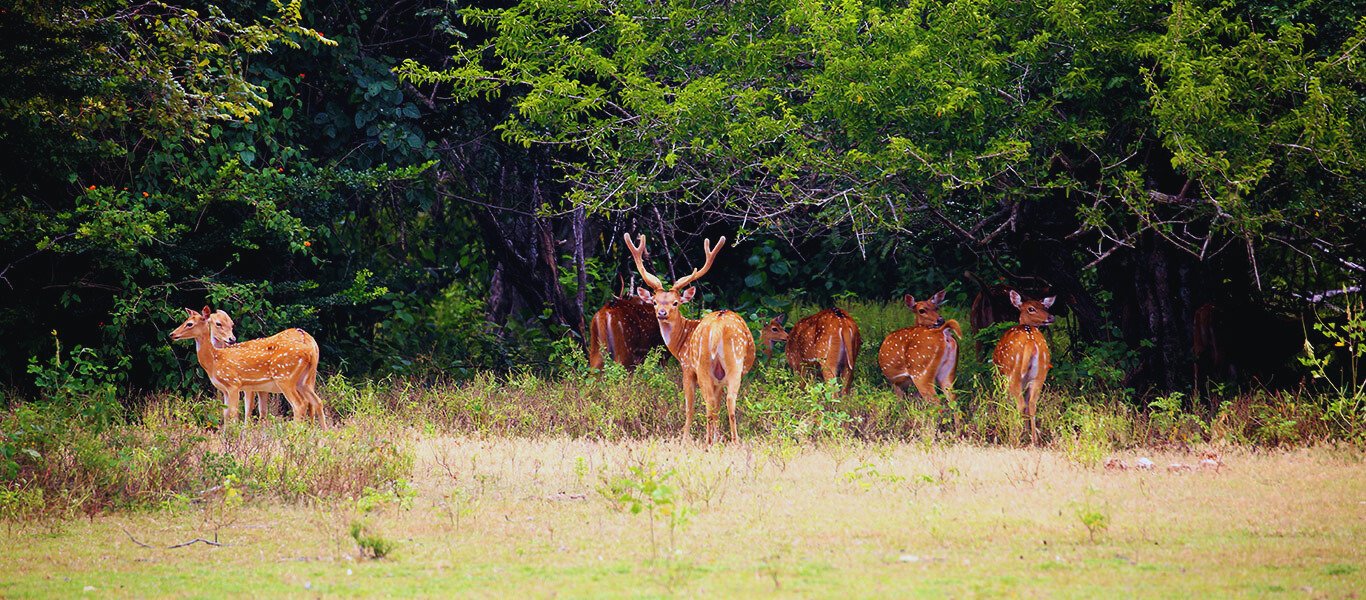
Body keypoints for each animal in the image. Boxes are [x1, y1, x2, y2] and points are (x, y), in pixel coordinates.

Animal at [172, 304, 326, 426]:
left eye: (189, 324)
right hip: (304, 381)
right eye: (218, 323)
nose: (172, 334)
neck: (215, 360)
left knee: (300, 404)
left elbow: (239, 412)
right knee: (317, 402)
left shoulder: (235, 384)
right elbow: (230, 413)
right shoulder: (230, 389)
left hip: (285, 378)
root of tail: (309, 347)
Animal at [622, 232, 754, 442]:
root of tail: (718, 327)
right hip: (733, 365)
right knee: (728, 401)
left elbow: (689, 407)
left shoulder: (686, 366)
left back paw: (709, 442)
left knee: (709, 402)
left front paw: (684, 438)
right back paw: (733, 441)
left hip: (705, 364)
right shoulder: (718, 379)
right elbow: (717, 407)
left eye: (675, 302)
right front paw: (717, 437)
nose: (662, 313)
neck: (681, 342)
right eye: (654, 301)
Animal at [994, 291, 1054, 445]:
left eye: (1044, 307)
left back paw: (1014, 439)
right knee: (1031, 404)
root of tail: (1031, 341)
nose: (1051, 317)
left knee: (1020, 404)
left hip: (1013, 374)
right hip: (1040, 375)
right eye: (1031, 308)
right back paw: (1034, 440)